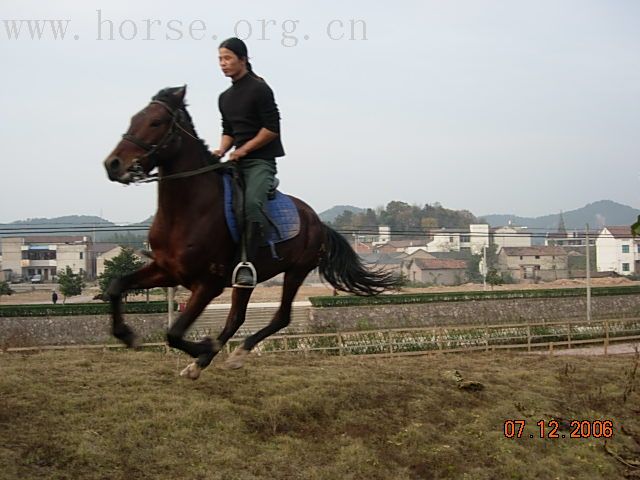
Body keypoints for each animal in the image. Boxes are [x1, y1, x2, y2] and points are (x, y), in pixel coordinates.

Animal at [102, 86, 396, 378]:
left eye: (156, 122)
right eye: (133, 119)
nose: (112, 164)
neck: (186, 211)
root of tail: (318, 222)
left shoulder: (207, 284)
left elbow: (173, 333)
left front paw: (204, 347)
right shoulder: (167, 270)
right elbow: (117, 286)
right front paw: (126, 334)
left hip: (296, 270)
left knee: (279, 316)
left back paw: (229, 355)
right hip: (246, 281)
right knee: (237, 318)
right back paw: (205, 361)